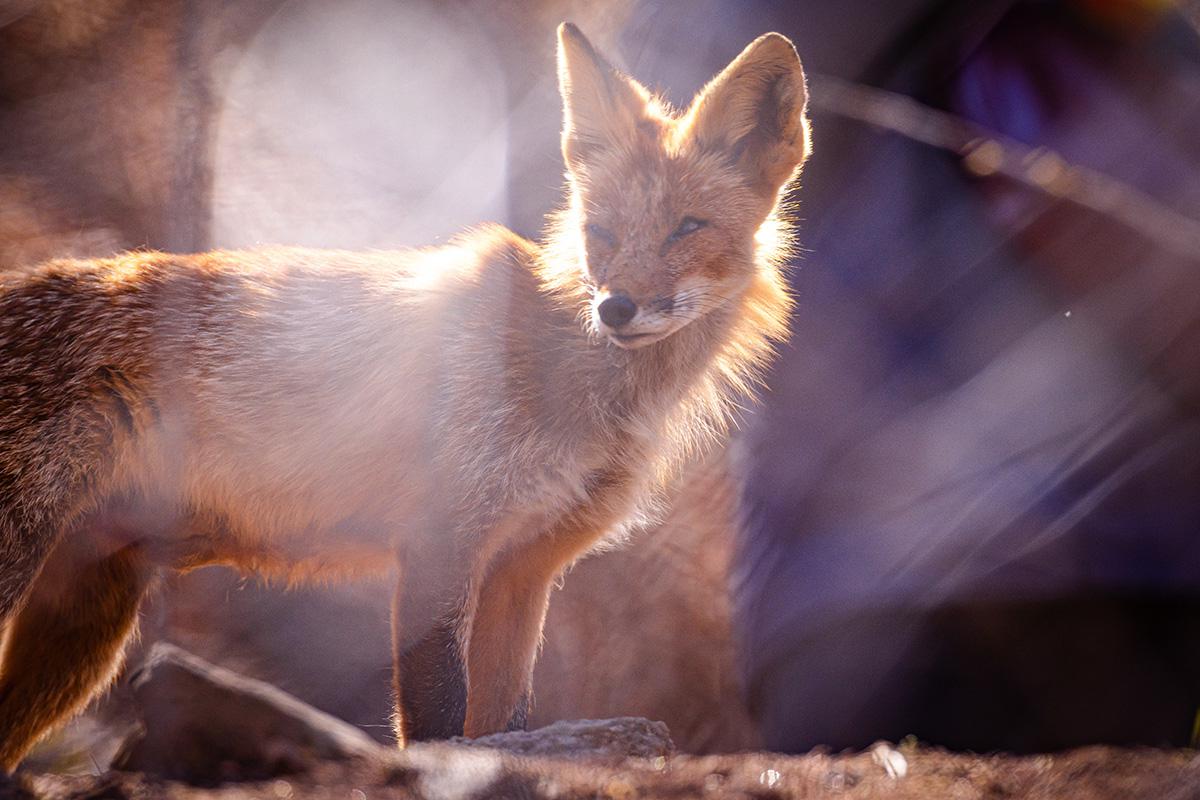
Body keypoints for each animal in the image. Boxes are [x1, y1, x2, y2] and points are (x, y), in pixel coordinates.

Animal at [0, 23, 809, 771]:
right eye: (602, 231)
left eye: (688, 228)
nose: (615, 308)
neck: (570, 378)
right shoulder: (439, 542)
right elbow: (439, 724)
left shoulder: (525, 568)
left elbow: (505, 723)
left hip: (82, 633)